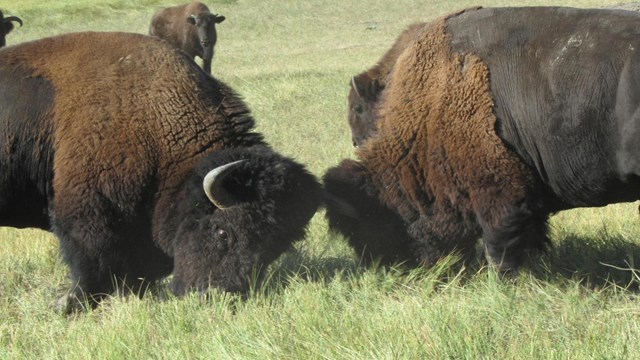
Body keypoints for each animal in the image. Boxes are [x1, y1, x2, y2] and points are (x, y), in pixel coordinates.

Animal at [0, 31, 320, 312]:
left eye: (270, 251)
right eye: (222, 232)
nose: (214, 295)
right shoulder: (86, 212)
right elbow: (89, 261)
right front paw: (67, 305)